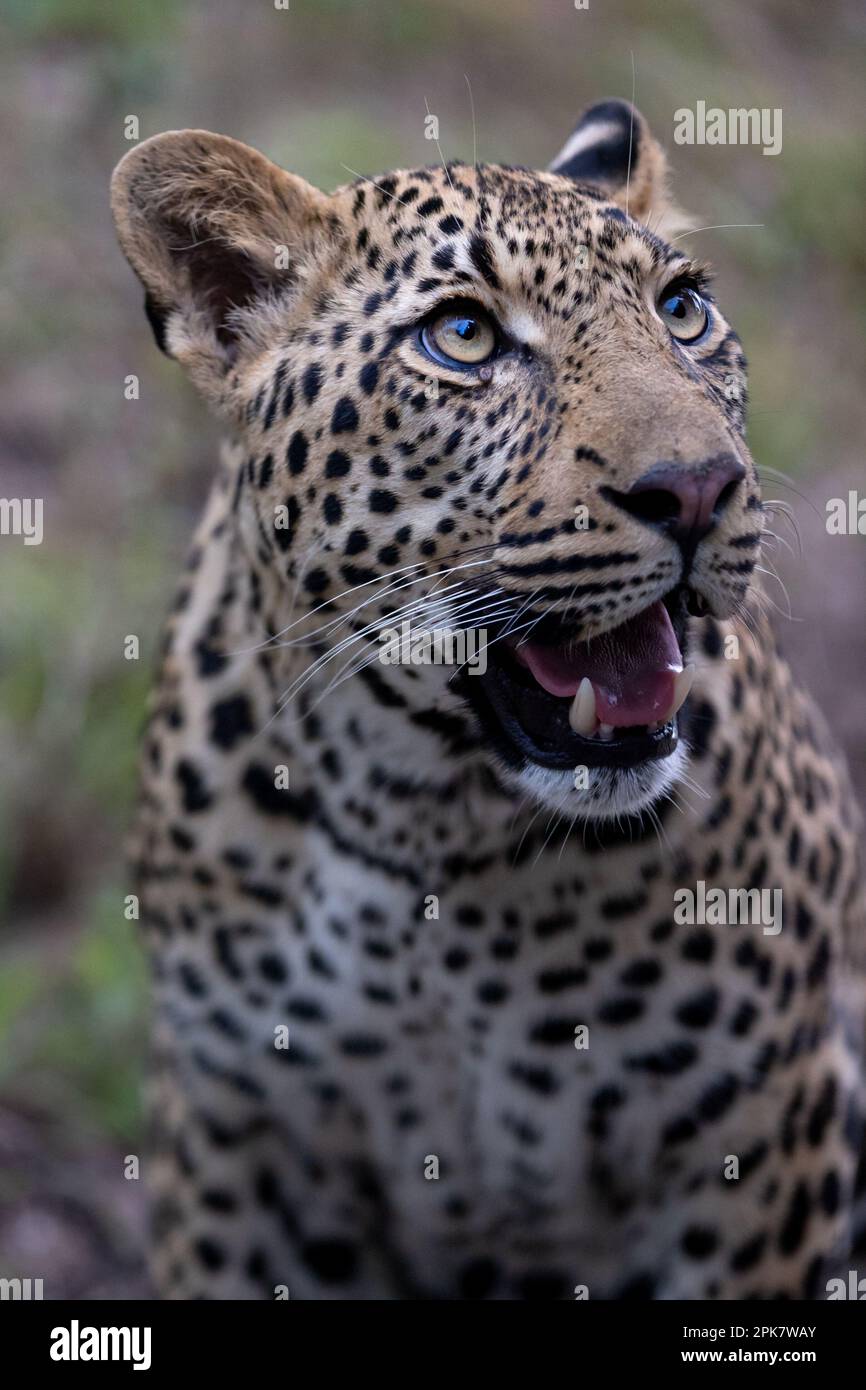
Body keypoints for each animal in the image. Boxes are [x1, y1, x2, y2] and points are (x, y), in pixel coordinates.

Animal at [111, 100, 866, 1301]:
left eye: (682, 311)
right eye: (461, 337)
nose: (700, 488)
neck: (423, 822)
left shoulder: (763, 1138)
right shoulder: (236, 1135)